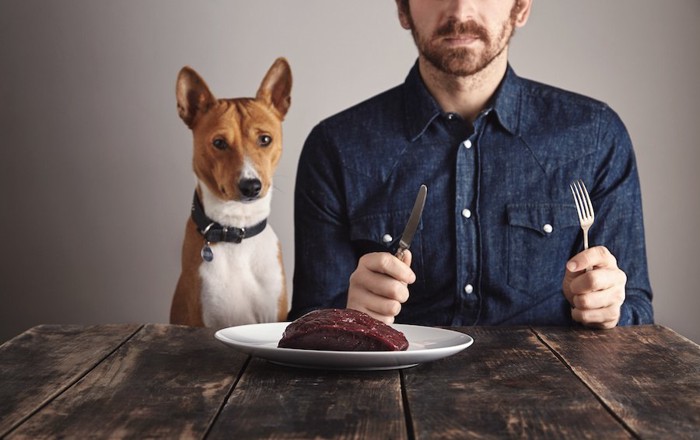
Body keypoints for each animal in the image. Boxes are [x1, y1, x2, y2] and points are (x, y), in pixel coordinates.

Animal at [171, 57, 292, 326]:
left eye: (265, 139)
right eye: (219, 143)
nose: (251, 186)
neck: (237, 229)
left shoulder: (272, 315)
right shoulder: (207, 318)